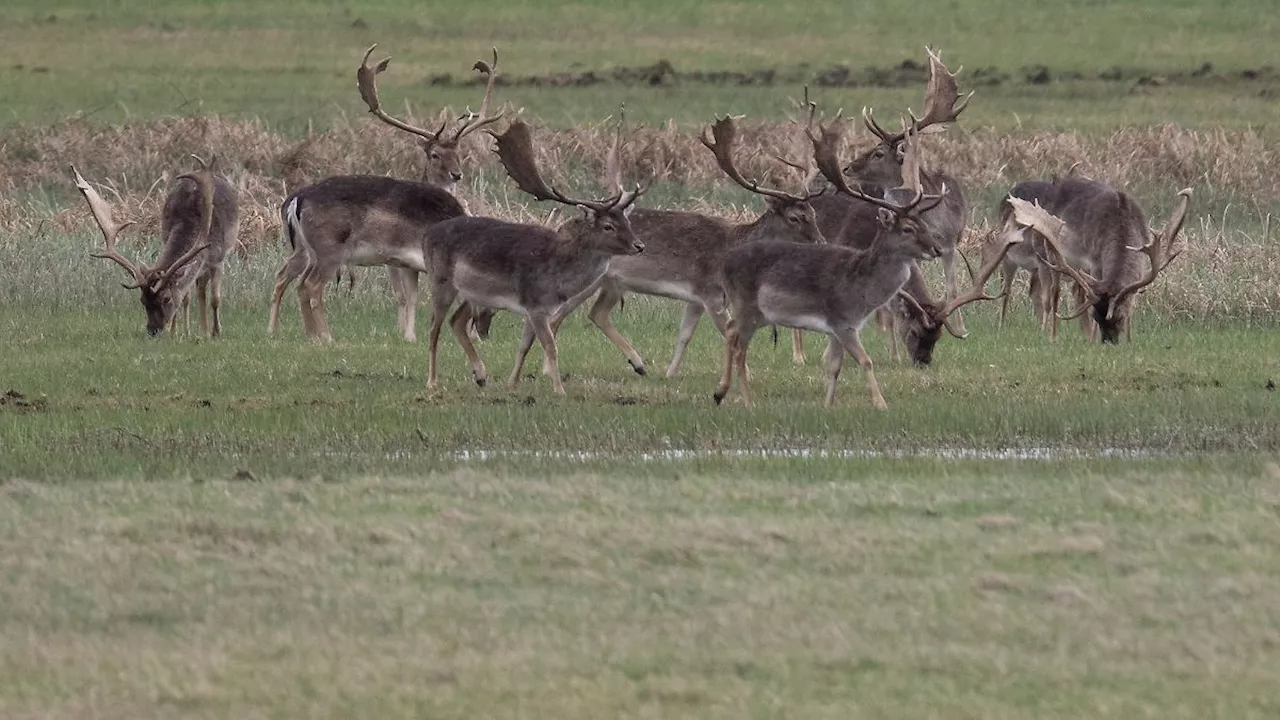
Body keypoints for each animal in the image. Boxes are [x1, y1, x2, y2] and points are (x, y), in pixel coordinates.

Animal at [72, 155, 239, 335]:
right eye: (142, 300)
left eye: (166, 298)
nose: (153, 330)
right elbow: (185, 297)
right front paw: (177, 332)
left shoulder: (219, 258)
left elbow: (215, 299)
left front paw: (216, 332)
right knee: (198, 287)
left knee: (203, 288)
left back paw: (206, 331)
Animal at [264, 45, 499, 340]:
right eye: (434, 154)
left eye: (460, 154)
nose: (484, 332)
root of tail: (297, 199)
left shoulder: (406, 263)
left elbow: (411, 297)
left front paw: (409, 337)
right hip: (329, 248)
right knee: (310, 285)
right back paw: (326, 337)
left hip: (302, 249)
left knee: (284, 276)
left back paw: (283, 332)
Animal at [427, 117, 650, 392]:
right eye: (608, 226)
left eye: (626, 220)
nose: (639, 245)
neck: (558, 279)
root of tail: (428, 233)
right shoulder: (536, 305)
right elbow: (550, 346)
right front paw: (559, 390)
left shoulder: (533, 310)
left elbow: (524, 346)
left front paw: (512, 384)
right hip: (440, 281)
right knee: (434, 329)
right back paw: (432, 382)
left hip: (473, 294)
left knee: (456, 321)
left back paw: (480, 376)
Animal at [711, 116, 1018, 409]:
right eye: (915, 331)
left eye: (939, 336)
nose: (923, 361)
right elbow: (883, 315)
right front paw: (884, 358)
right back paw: (796, 356)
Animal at [998, 181, 1187, 345]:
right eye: (1096, 316)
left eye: (1120, 317)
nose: (1108, 342)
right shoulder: (1095, 261)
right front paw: (1092, 338)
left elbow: (1131, 302)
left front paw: (1129, 341)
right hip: (1048, 255)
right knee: (1052, 294)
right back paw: (1052, 335)